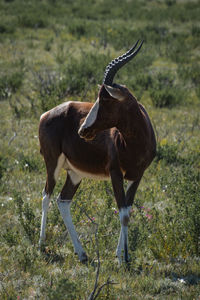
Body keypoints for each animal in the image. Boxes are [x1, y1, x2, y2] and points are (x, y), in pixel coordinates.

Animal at [38, 39, 156, 262]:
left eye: (106, 99)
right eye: (99, 96)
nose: (83, 130)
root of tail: (46, 114)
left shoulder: (138, 176)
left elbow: (128, 211)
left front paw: (122, 255)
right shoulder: (115, 173)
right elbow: (123, 213)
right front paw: (123, 258)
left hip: (75, 173)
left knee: (63, 200)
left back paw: (82, 254)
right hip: (52, 164)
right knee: (46, 196)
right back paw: (41, 246)